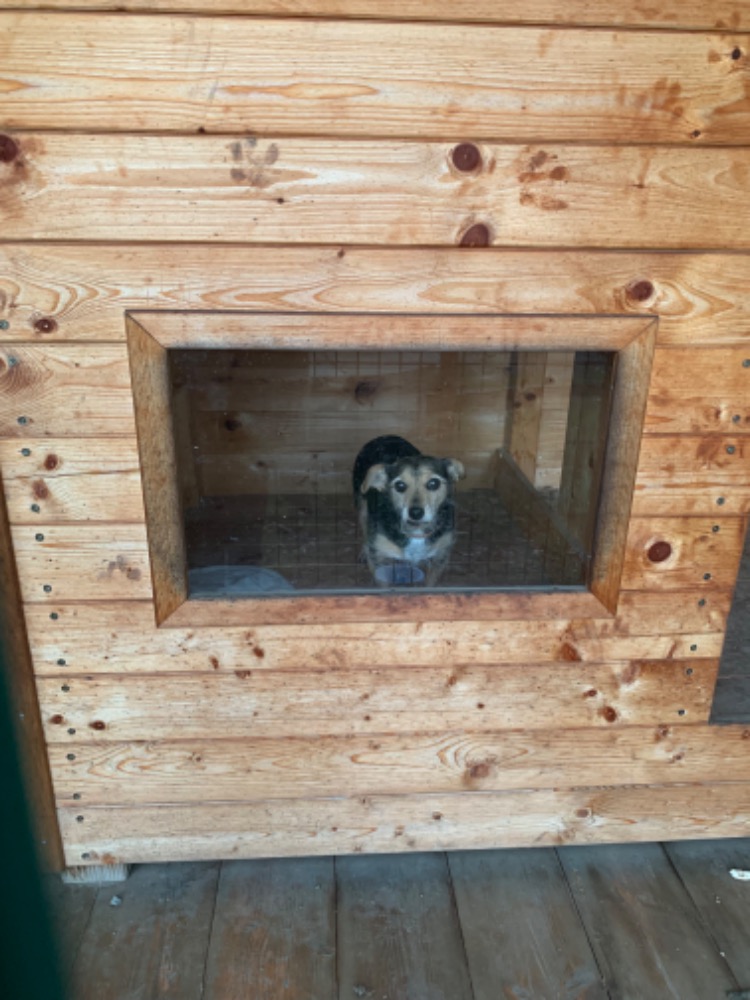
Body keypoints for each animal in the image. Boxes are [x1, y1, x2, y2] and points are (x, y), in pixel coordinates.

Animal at [353, 435, 465, 587]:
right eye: (400, 485)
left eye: (433, 483)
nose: (416, 512)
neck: (416, 531)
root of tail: (385, 436)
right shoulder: (378, 559)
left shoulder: (441, 556)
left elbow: (430, 584)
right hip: (363, 508)